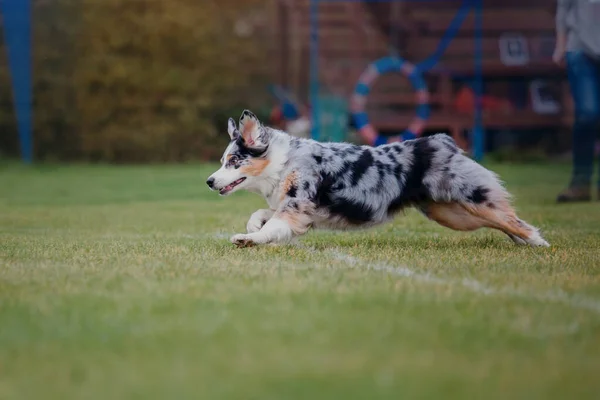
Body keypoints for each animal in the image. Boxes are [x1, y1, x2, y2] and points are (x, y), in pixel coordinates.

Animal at [206, 109, 548, 247]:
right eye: (223, 162)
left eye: (233, 162)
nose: (209, 181)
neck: (282, 162)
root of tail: (441, 141)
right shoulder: (298, 208)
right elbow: (262, 213)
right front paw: (253, 226)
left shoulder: (296, 206)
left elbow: (272, 226)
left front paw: (248, 239)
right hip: (452, 214)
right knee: (501, 219)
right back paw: (522, 241)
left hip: (467, 197)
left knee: (511, 217)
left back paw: (538, 243)